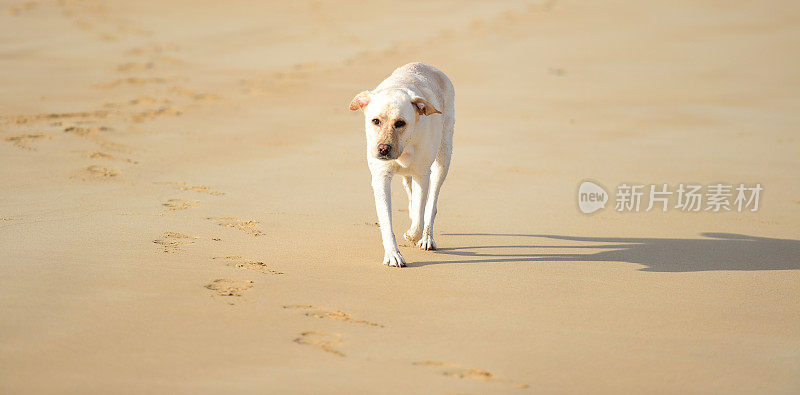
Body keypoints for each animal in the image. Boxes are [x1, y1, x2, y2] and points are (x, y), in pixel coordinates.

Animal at [350, 63, 456, 268]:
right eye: (375, 121)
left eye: (400, 123)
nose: (383, 149)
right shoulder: (381, 178)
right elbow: (386, 220)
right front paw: (393, 254)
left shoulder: (422, 174)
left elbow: (420, 213)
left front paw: (413, 234)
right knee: (411, 193)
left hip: (443, 158)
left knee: (431, 203)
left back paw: (427, 238)